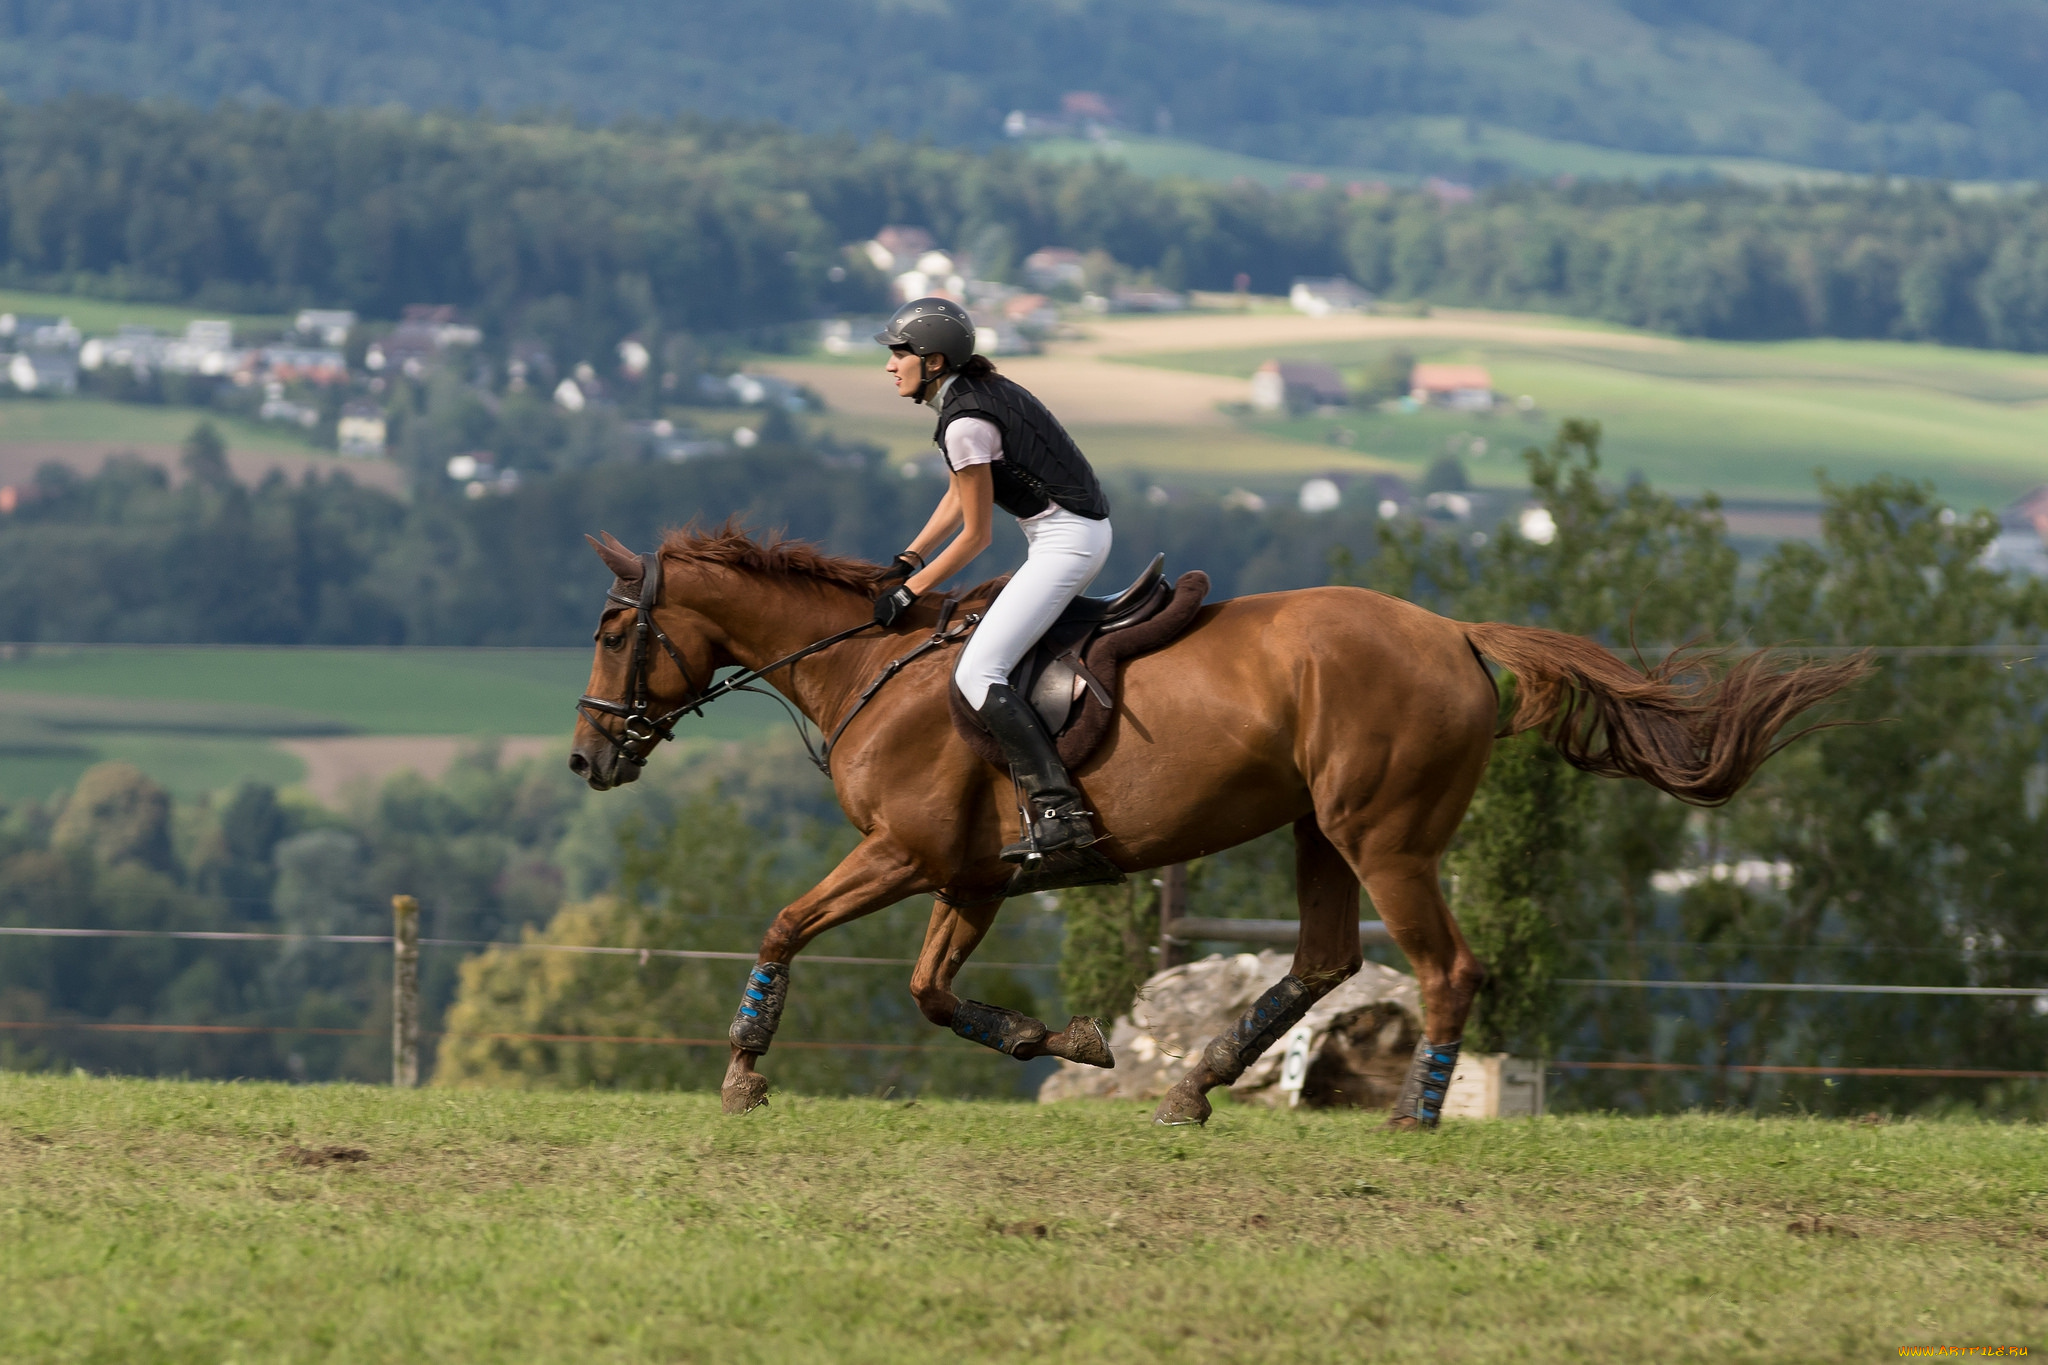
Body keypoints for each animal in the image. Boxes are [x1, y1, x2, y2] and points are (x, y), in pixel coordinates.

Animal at [569, 527, 1867, 1129]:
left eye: (610, 628)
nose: (587, 758)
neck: (869, 666)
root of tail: (1455, 635)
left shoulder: (905, 855)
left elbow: (785, 927)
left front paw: (743, 1072)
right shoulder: (968, 877)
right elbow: (932, 994)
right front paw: (1069, 1039)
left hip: (1382, 836)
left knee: (1442, 967)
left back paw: (1411, 1112)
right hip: (1316, 830)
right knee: (1325, 961)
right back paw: (1189, 1087)